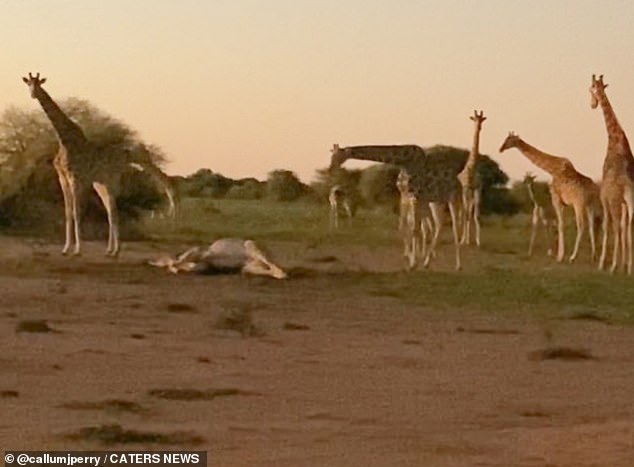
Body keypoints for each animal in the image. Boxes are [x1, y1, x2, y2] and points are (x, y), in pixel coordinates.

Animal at [326, 144, 460, 272]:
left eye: (337, 156)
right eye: (331, 155)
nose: (330, 169)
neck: (403, 162)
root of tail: (457, 181)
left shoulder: (414, 197)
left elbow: (414, 229)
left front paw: (413, 264)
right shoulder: (405, 197)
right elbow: (403, 226)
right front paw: (410, 258)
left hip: (453, 200)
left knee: (454, 227)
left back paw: (457, 265)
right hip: (436, 202)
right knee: (438, 225)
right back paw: (428, 261)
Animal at [498, 132, 596, 264]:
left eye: (509, 139)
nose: (501, 149)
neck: (552, 169)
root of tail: (593, 190)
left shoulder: (556, 199)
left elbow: (560, 225)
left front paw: (559, 256)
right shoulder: (561, 203)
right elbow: (558, 224)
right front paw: (558, 254)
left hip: (578, 204)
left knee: (581, 225)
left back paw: (573, 257)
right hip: (590, 204)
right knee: (591, 225)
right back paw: (593, 257)